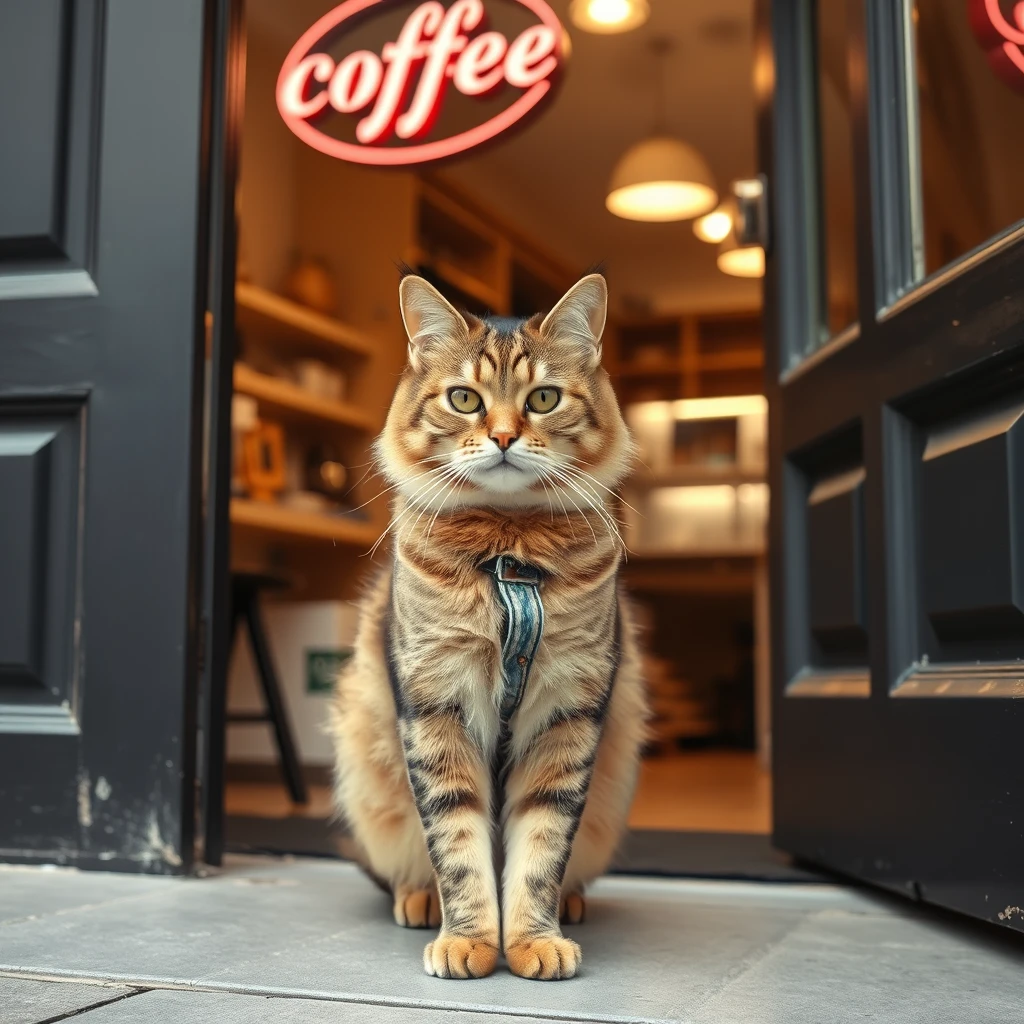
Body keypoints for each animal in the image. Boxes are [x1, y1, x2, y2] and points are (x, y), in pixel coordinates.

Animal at [327, 272, 647, 983]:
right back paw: (418, 899)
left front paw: (531, 940)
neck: (509, 552)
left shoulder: (569, 709)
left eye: (544, 399)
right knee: (408, 865)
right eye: (465, 399)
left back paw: (573, 903)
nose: (503, 437)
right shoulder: (434, 701)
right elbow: (459, 844)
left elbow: (540, 848)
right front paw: (470, 939)